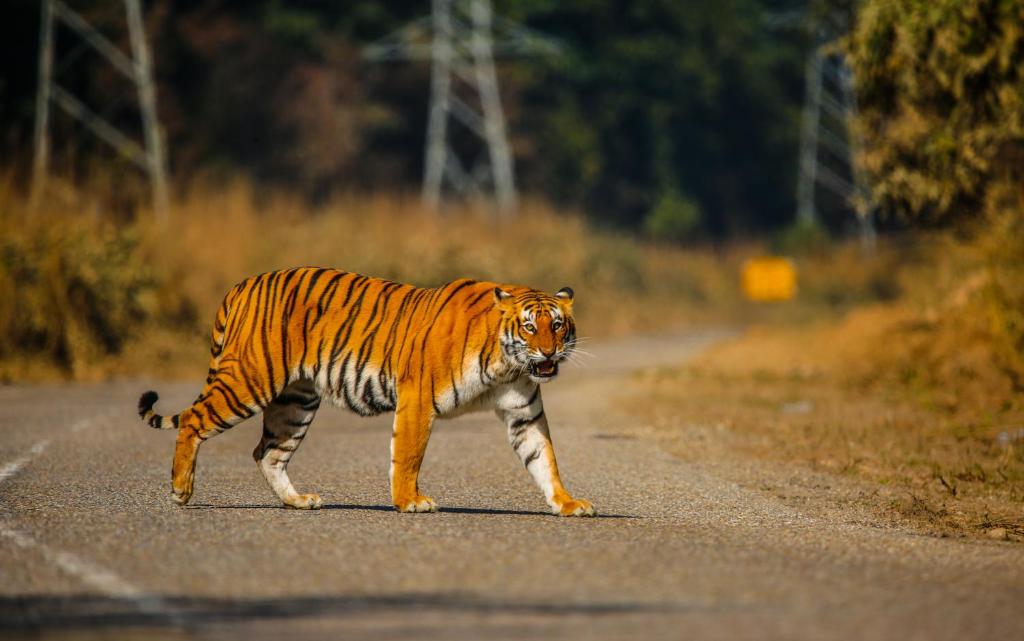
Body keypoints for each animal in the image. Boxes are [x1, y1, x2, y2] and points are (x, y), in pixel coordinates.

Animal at [140, 266, 598, 516]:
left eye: (558, 325)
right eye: (529, 326)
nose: (548, 352)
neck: (507, 364)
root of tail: (243, 284)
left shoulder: (524, 413)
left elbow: (544, 459)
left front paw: (568, 503)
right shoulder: (418, 398)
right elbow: (408, 456)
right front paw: (410, 501)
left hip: (296, 400)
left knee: (267, 452)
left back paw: (298, 501)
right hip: (250, 380)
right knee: (194, 420)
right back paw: (181, 490)